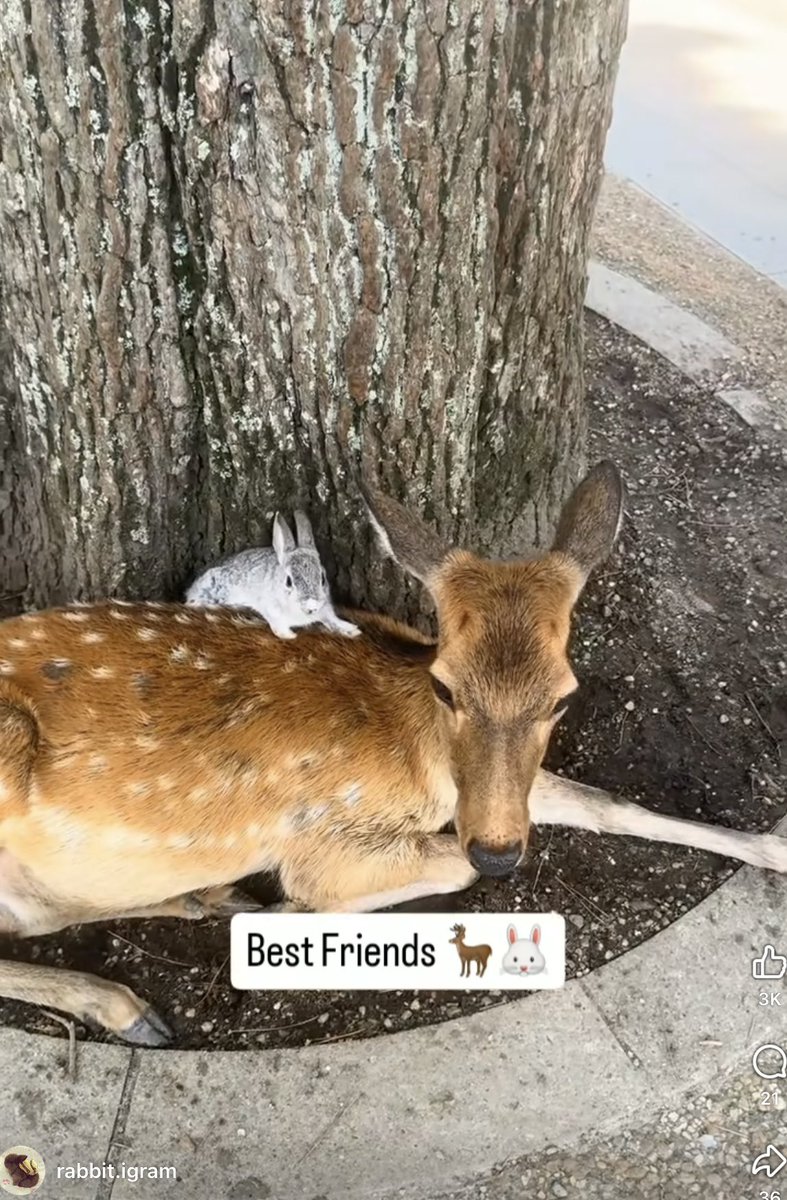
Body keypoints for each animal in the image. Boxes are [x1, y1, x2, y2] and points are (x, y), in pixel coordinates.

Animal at [185, 511, 361, 641]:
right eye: (289, 581)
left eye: (322, 578)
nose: (311, 607)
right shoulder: (270, 609)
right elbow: (278, 624)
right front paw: (288, 635)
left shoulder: (326, 609)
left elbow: (331, 619)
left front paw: (351, 630)